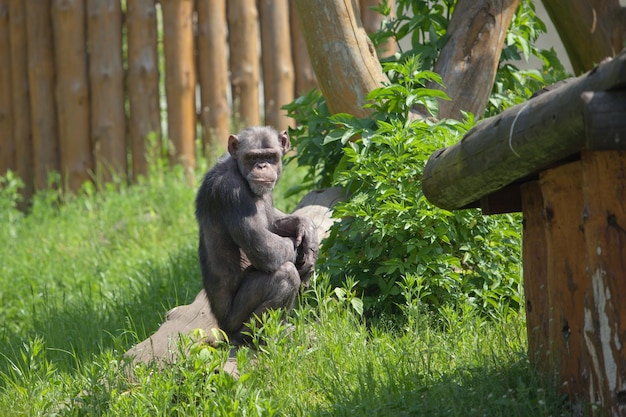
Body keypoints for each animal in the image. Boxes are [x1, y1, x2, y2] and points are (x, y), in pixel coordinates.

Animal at [195, 127, 320, 344]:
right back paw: (257, 336)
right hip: (233, 320)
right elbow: (266, 247)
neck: (239, 170)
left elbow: (272, 221)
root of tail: (222, 328)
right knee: (285, 274)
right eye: (252, 157)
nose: (262, 166)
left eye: (270, 156)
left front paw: (307, 230)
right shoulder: (232, 192)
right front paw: (305, 255)